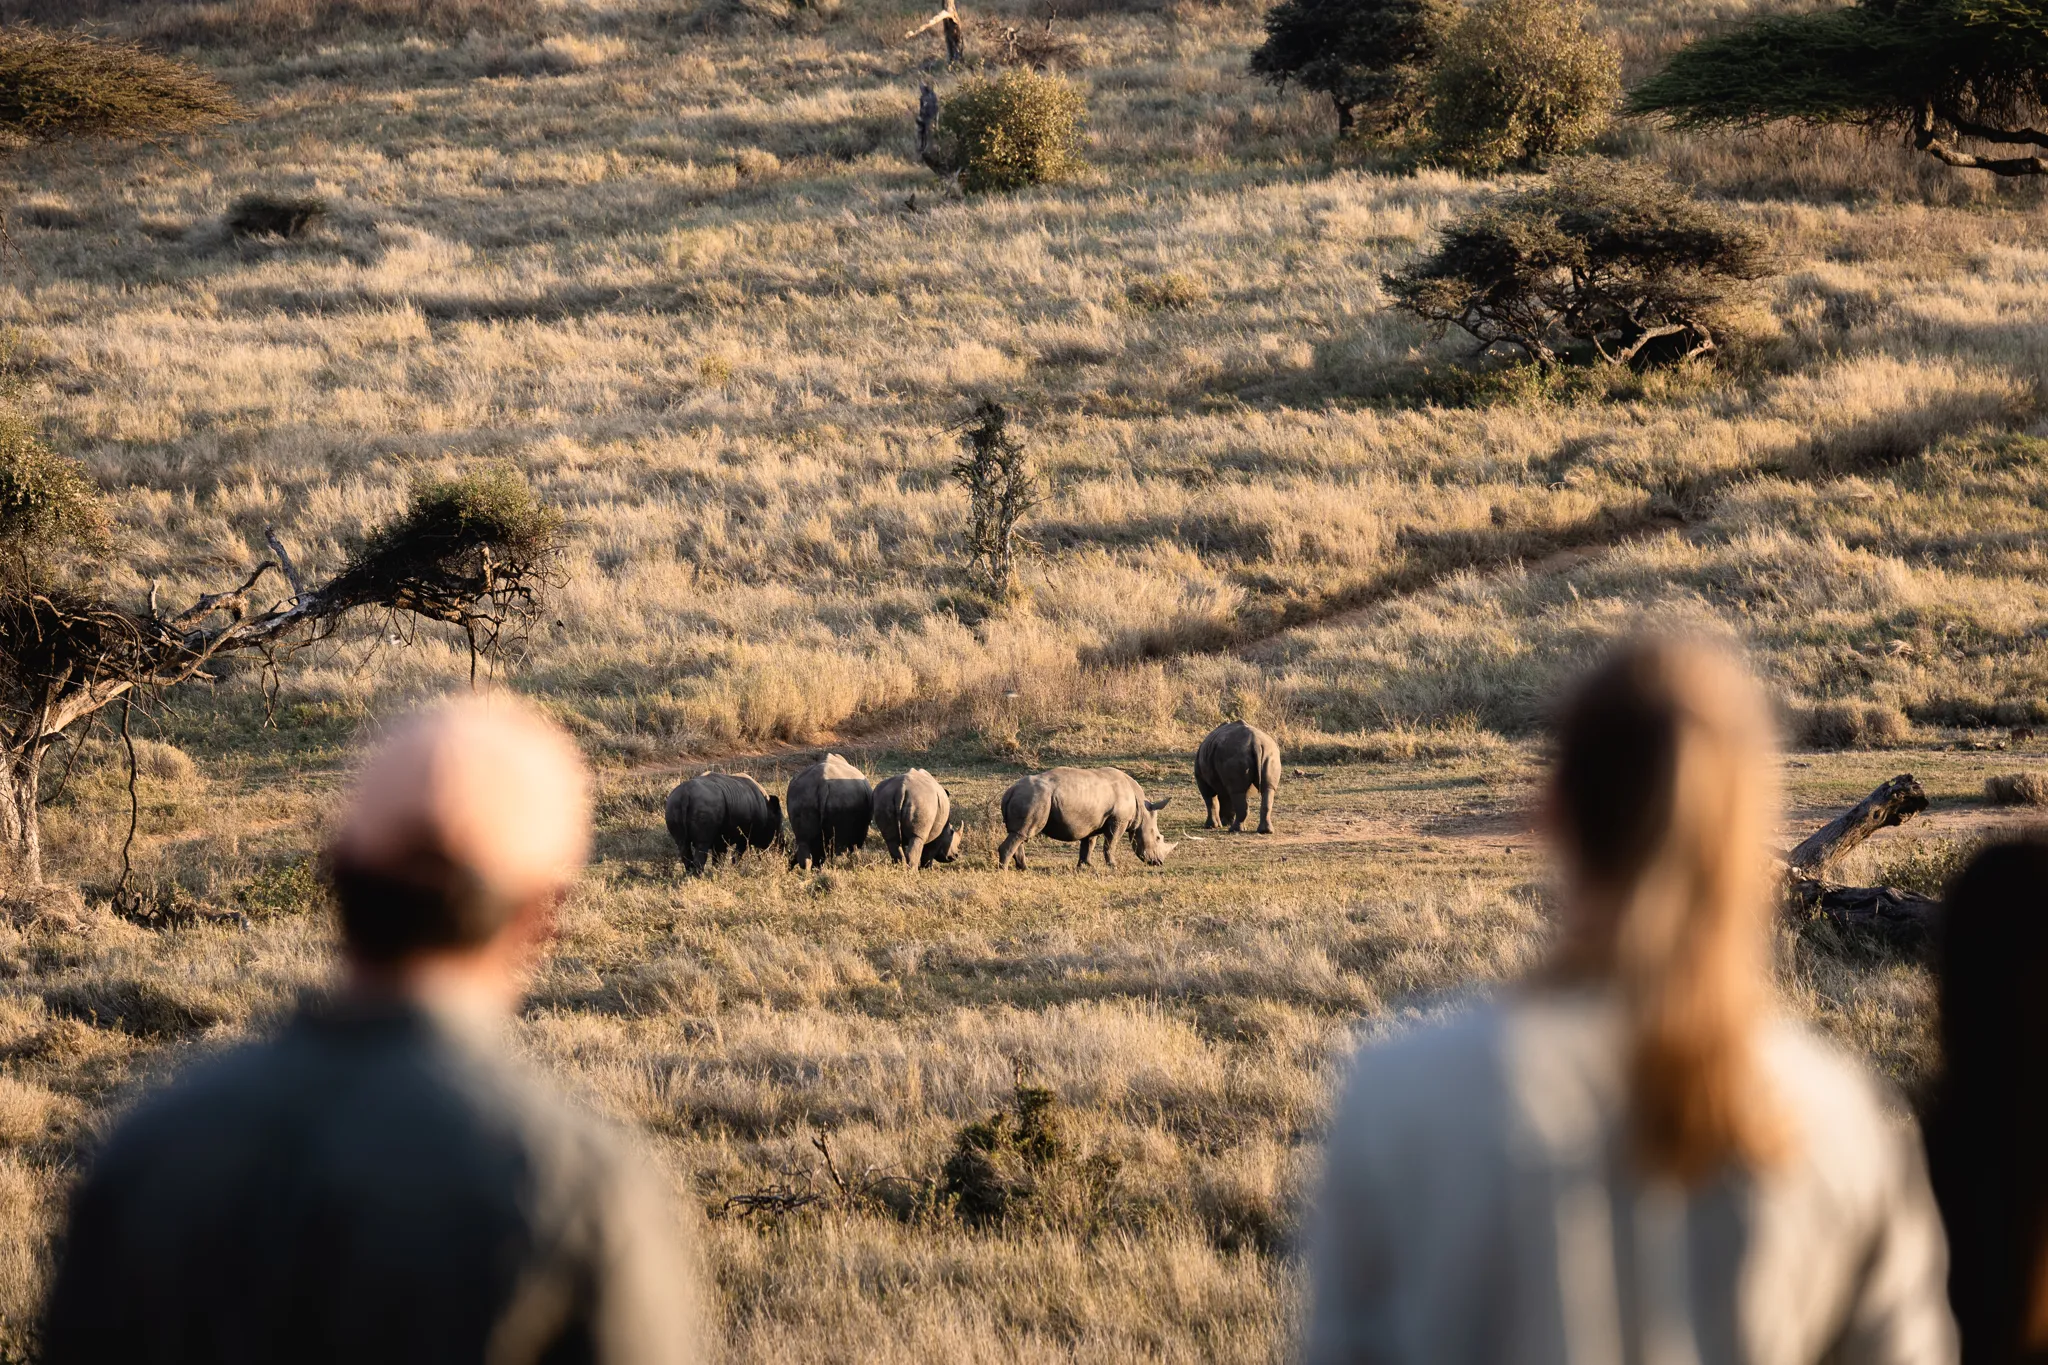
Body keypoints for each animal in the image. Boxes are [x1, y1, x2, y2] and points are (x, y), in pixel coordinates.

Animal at [996, 766, 1175, 870]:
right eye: (1158, 838)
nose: (1159, 862)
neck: (1142, 810)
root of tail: (1009, 792)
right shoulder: (1118, 820)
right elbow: (1111, 843)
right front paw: (1113, 866)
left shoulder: (1093, 820)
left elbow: (1089, 842)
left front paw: (1086, 866)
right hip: (1034, 798)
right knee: (1022, 833)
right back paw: (1004, 871)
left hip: (1030, 797)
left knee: (1019, 834)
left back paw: (1023, 868)